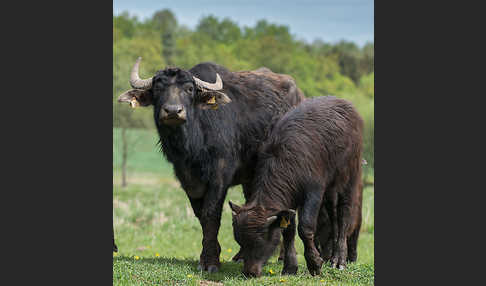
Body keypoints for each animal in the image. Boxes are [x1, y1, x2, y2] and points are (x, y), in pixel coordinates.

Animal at [230, 96, 362, 278]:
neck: (284, 161)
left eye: (260, 241)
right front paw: (290, 267)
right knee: (333, 215)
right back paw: (331, 256)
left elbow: (305, 227)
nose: (250, 272)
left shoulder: (314, 192)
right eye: (240, 241)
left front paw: (315, 263)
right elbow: (289, 231)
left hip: (349, 177)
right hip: (330, 189)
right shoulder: (289, 201)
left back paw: (339, 260)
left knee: (344, 214)